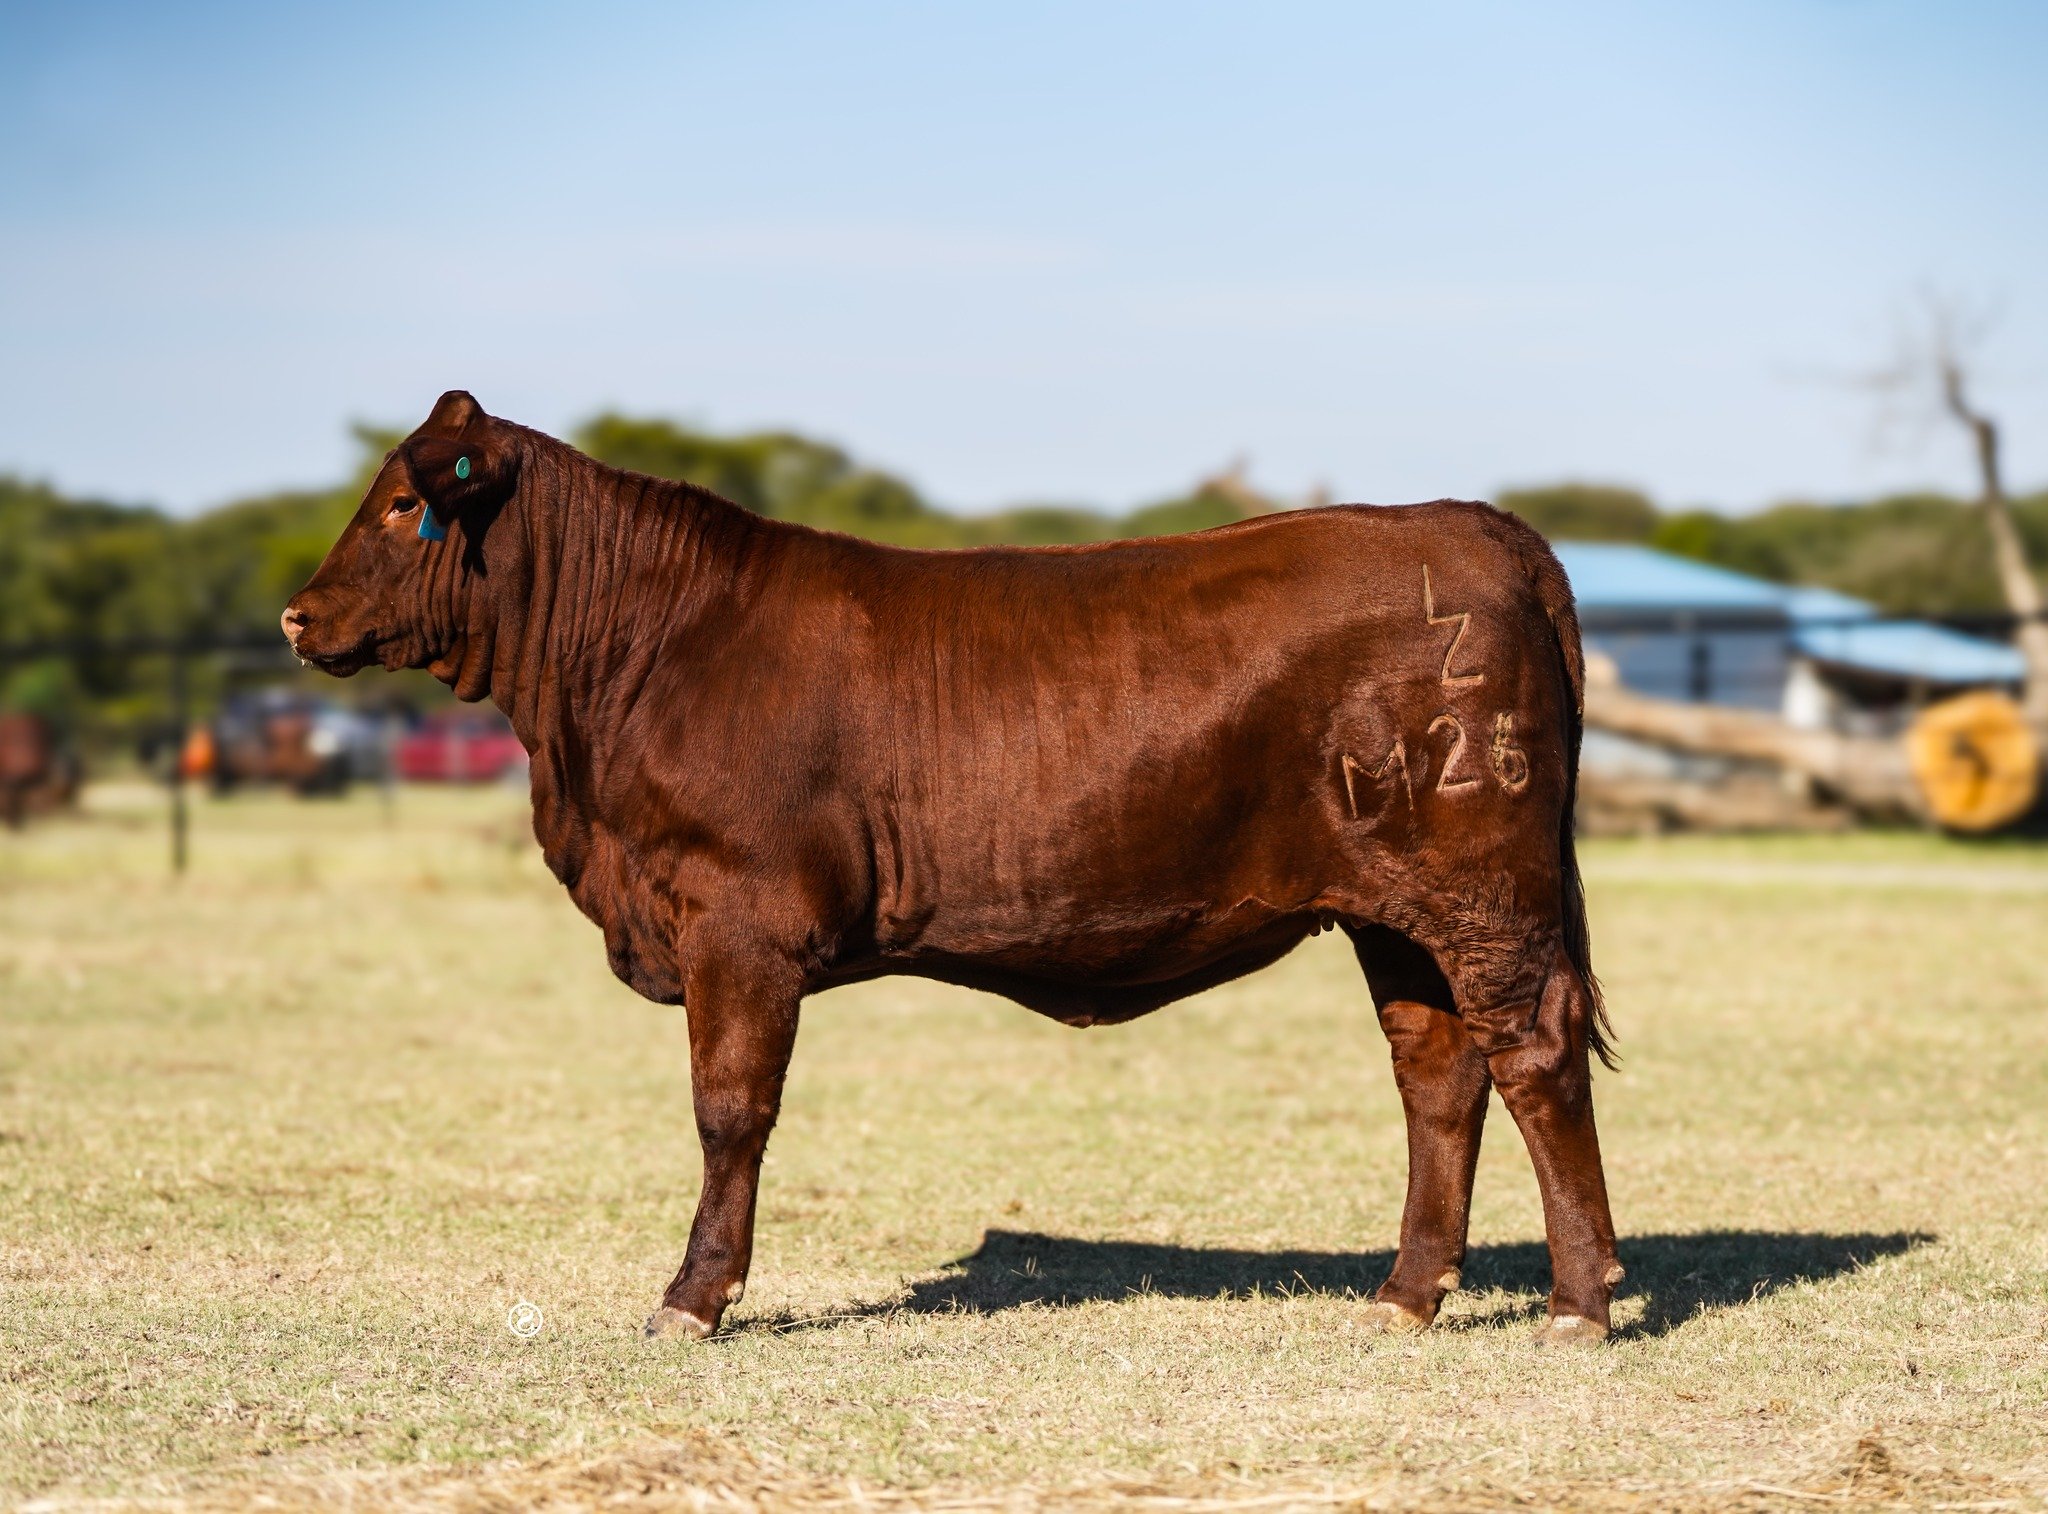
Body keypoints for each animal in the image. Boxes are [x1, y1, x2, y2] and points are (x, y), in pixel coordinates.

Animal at [283, 392, 1623, 1346]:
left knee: (1533, 1049)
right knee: (1438, 1069)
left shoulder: (738, 921)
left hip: (1484, 889)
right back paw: (1404, 1292)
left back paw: (1576, 1301)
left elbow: (728, 1108)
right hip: (1394, 911)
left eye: (402, 504)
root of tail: (1464, 522)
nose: (297, 615)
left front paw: (693, 1295)